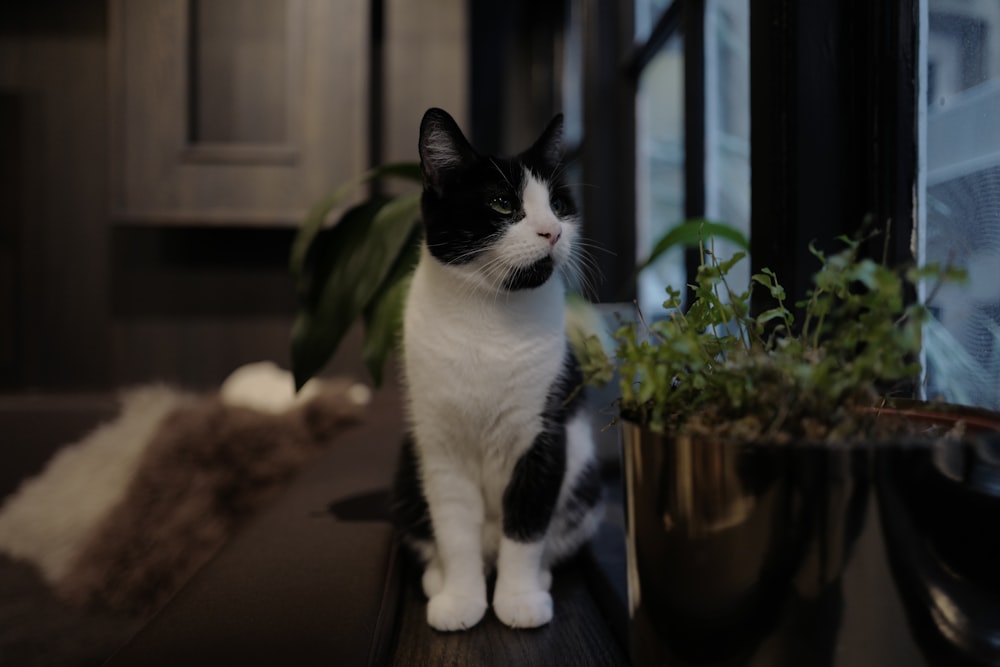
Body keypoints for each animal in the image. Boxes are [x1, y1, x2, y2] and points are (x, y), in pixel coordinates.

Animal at [394, 108, 604, 632]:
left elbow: (526, 528)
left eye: (557, 204)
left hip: (584, 481)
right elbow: (454, 531)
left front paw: (519, 599)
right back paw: (438, 579)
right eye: (502, 204)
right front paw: (460, 600)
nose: (552, 231)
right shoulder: (441, 447)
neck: (488, 319)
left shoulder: (544, 438)